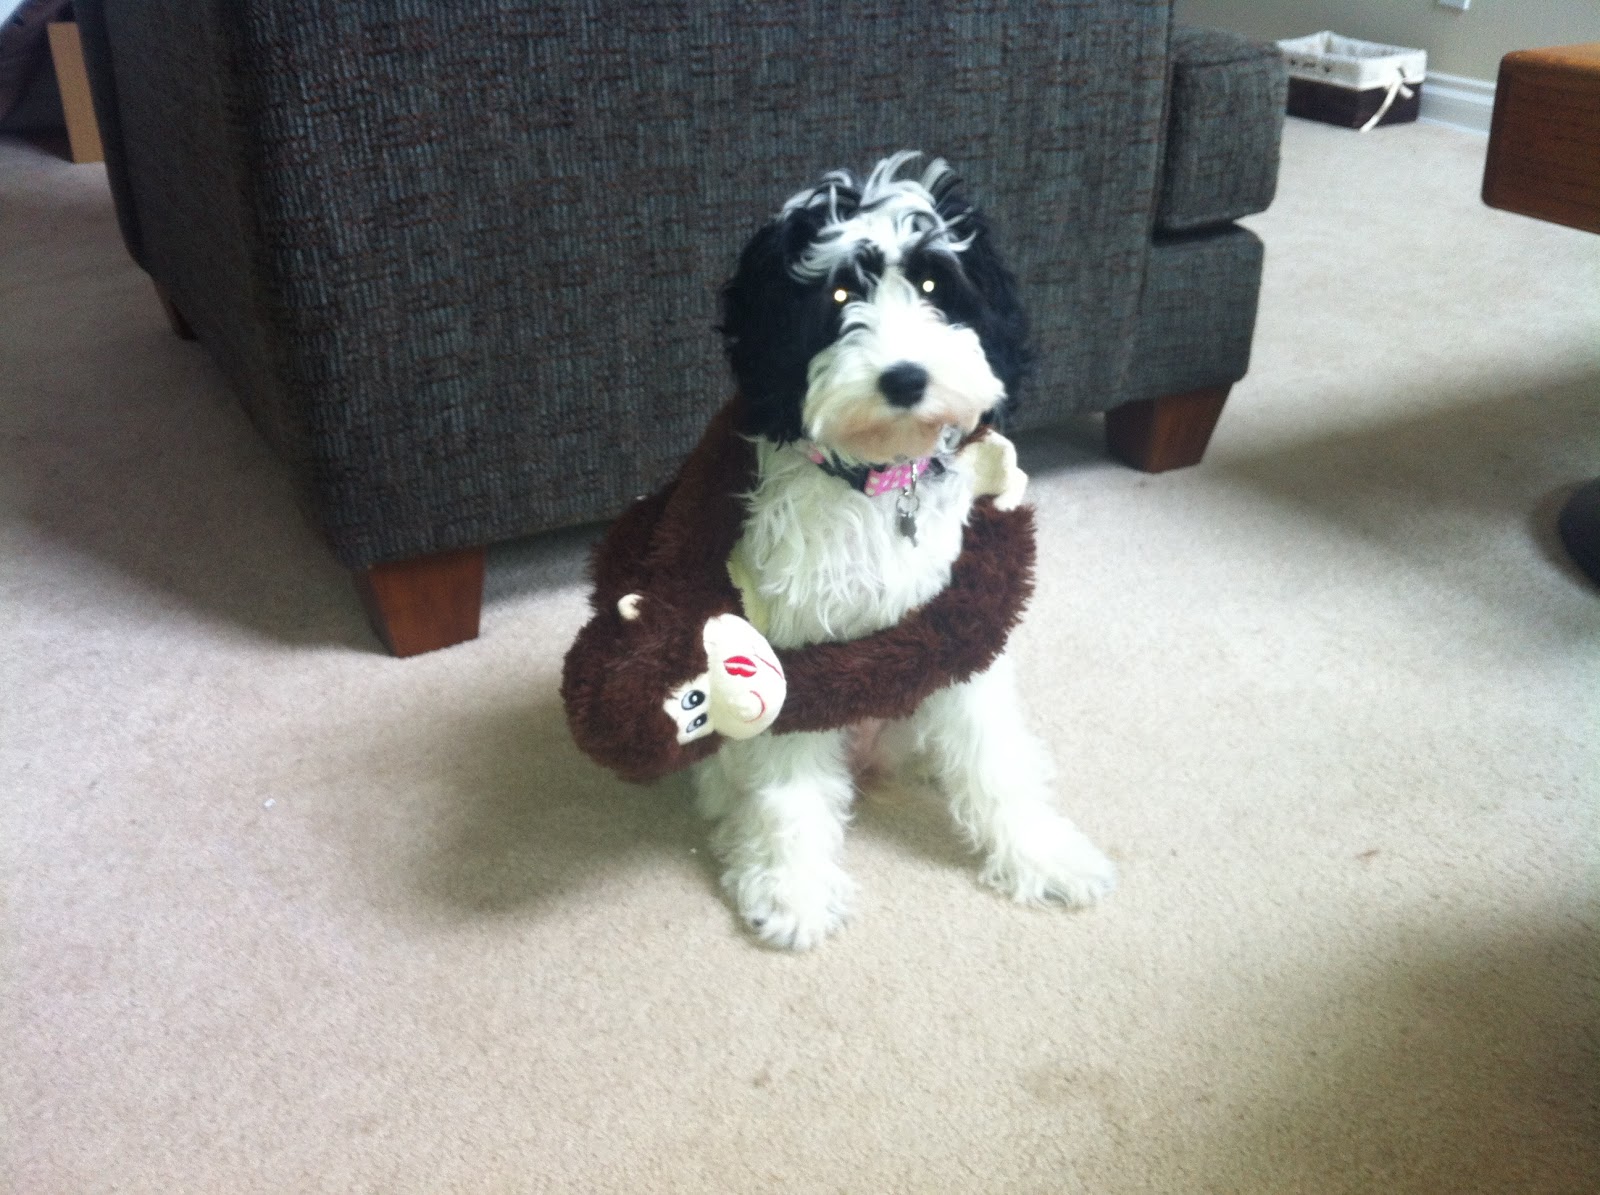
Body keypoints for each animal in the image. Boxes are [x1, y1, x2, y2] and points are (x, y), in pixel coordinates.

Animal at [694, 151, 1120, 953]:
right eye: (836, 293)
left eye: (932, 286)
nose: (904, 378)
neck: (878, 486)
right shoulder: (792, 643)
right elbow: (787, 786)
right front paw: (794, 888)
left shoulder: (958, 624)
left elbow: (993, 755)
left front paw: (1040, 854)